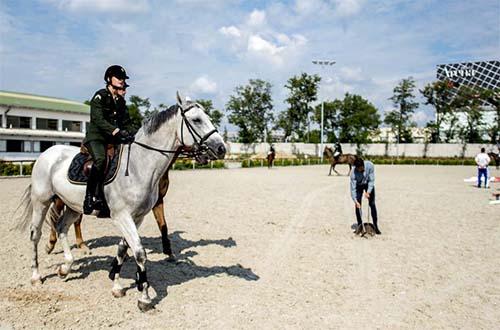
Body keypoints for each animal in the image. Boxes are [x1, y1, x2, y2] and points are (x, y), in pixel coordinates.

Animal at [16, 93, 227, 312]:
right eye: (197, 120)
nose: (221, 148)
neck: (139, 165)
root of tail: (47, 153)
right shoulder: (122, 216)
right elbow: (139, 252)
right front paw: (144, 297)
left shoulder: (137, 217)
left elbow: (123, 249)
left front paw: (117, 285)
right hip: (41, 201)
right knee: (35, 234)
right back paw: (36, 276)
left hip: (74, 206)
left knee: (61, 227)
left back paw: (66, 267)